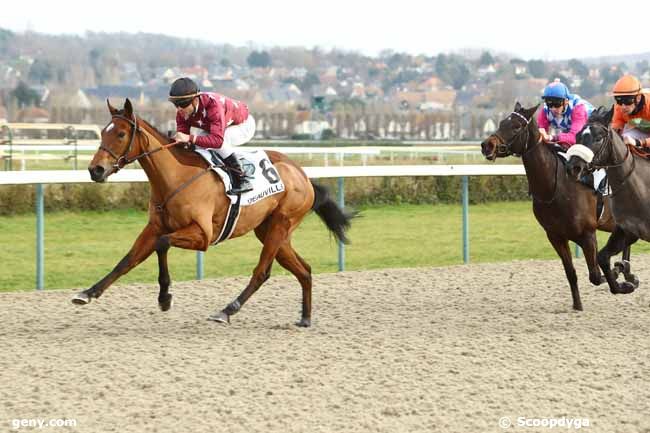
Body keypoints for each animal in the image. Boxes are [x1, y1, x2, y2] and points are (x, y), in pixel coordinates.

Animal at [73, 98, 352, 328]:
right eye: (103, 132)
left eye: (121, 134)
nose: (95, 170)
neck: (175, 178)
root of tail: (302, 174)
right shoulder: (154, 227)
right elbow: (127, 260)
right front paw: (87, 293)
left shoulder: (202, 236)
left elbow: (162, 244)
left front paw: (165, 297)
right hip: (271, 231)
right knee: (304, 269)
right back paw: (305, 318)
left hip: (280, 225)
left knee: (262, 272)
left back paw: (227, 310)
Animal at [480, 101, 628, 310]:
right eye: (501, 123)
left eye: (516, 126)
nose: (487, 145)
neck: (554, 189)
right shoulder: (555, 236)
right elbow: (571, 273)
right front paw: (577, 305)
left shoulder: (587, 234)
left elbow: (595, 275)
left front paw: (618, 276)